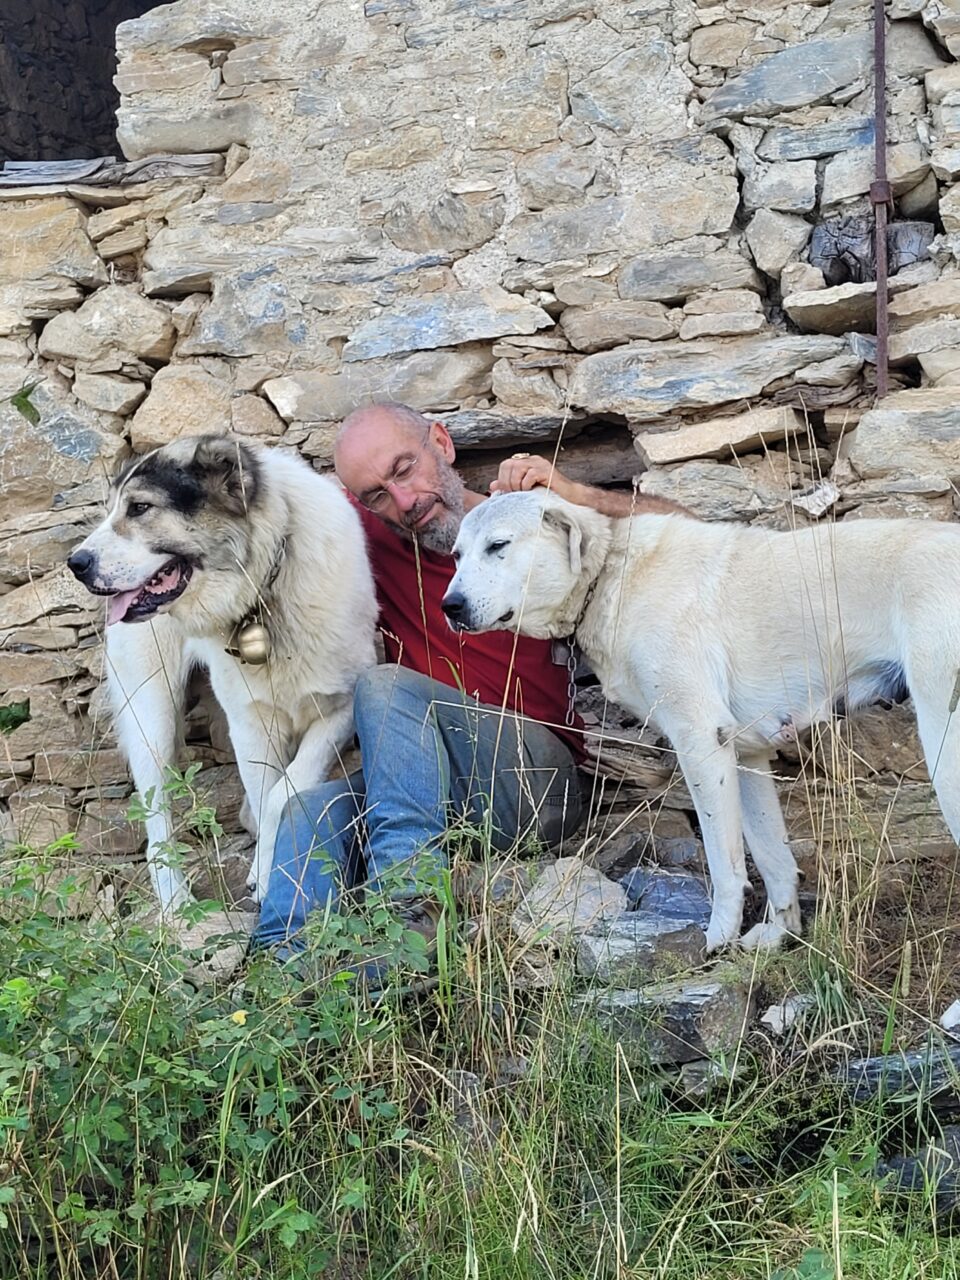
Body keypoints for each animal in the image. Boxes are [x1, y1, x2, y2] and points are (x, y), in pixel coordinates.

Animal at [68, 434, 377, 912]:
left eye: (139, 507)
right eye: (113, 508)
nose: (75, 563)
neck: (265, 591)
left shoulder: (338, 711)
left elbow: (284, 792)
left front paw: (266, 870)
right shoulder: (250, 723)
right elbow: (267, 795)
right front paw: (265, 875)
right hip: (151, 715)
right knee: (155, 813)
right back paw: (174, 902)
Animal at [442, 489, 960, 952]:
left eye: (499, 545)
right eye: (457, 555)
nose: (450, 606)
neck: (611, 576)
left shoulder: (701, 743)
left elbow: (725, 863)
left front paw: (715, 939)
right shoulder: (748, 755)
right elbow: (773, 859)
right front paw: (779, 934)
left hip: (944, 748)